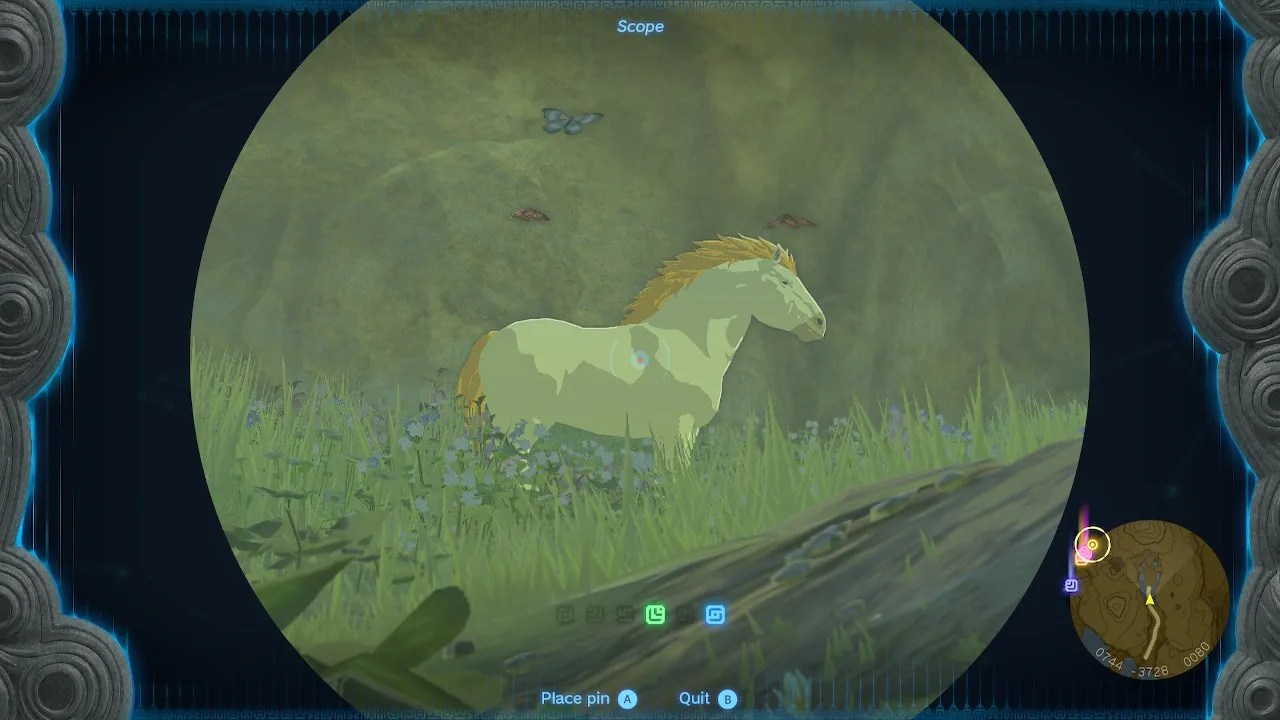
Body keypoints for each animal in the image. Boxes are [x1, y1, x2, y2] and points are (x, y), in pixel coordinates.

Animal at [455, 234, 826, 465]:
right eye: (784, 282)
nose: (819, 324)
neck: (687, 341)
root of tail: (495, 337)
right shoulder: (676, 430)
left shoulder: (679, 433)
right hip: (522, 424)